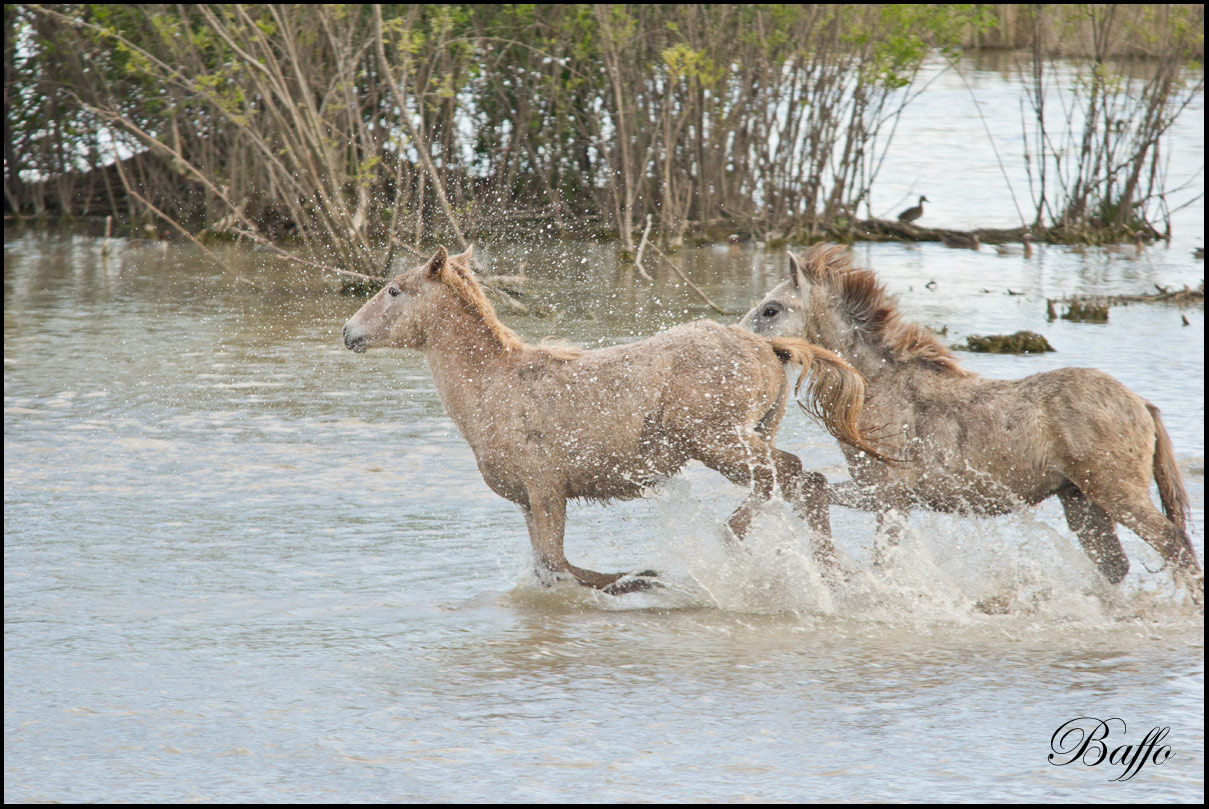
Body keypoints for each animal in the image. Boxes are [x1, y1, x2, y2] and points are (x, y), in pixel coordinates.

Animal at [345, 246, 884, 592]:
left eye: (394, 290)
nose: (349, 332)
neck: (489, 390)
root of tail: (771, 349)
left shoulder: (546, 487)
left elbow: (561, 565)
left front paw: (643, 577)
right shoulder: (527, 498)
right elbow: (549, 568)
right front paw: (641, 577)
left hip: (717, 441)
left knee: (802, 476)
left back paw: (827, 573)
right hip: (752, 433)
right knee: (781, 484)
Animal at [739, 246, 1204, 604]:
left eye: (771, 309)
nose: (740, 343)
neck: (880, 390)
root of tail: (1141, 404)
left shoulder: (888, 495)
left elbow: (874, 551)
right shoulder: (880, 495)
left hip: (1117, 493)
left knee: (1173, 544)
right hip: (1081, 500)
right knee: (1115, 563)